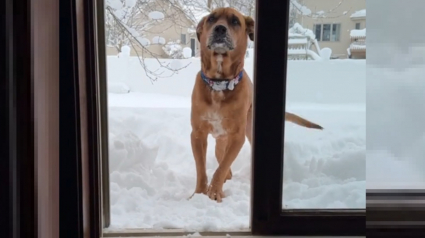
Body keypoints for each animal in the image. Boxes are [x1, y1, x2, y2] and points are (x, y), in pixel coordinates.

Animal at [189, 6, 322, 201]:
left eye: (235, 21)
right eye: (211, 19)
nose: (220, 29)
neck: (219, 84)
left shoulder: (237, 136)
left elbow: (221, 167)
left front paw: (214, 192)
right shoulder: (198, 134)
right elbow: (201, 169)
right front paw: (198, 194)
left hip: (248, 130)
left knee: (224, 161)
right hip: (221, 138)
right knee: (221, 157)